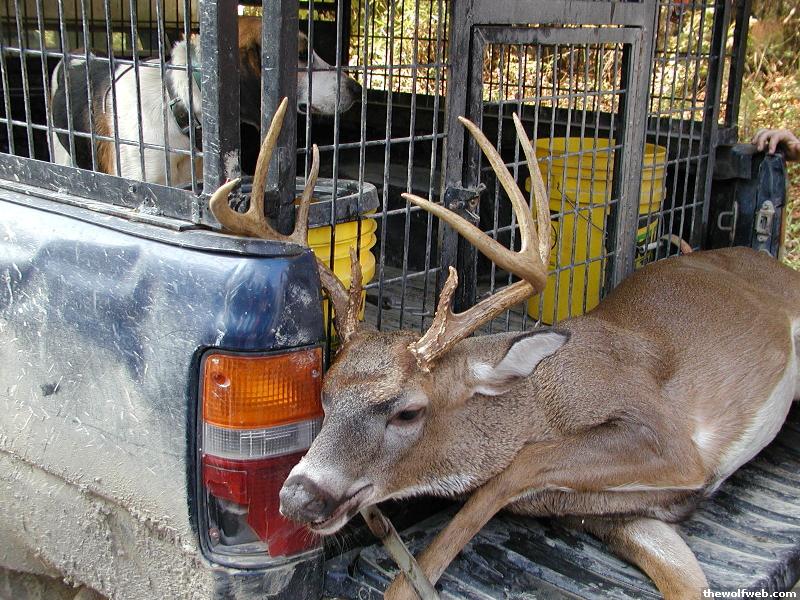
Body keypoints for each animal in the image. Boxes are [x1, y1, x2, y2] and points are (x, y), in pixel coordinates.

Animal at [210, 98, 800, 600]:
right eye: (325, 396)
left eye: (407, 411)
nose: (298, 497)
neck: (541, 402)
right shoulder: (622, 516)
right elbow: (687, 582)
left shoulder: (667, 435)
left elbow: (514, 469)